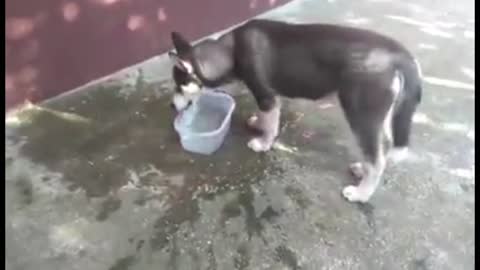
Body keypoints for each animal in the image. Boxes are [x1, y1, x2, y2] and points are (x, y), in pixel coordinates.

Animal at [168, 19, 420, 202]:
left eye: (179, 85)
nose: (171, 106)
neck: (230, 52)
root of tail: (398, 54)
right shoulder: (270, 98)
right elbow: (267, 118)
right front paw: (258, 124)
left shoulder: (266, 96)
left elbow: (270, 125)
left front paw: (263, 143)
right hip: (379, 115)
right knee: (382, 149)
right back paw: (362, 170)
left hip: (361, 113)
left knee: (377, 159)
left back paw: (361, 193)